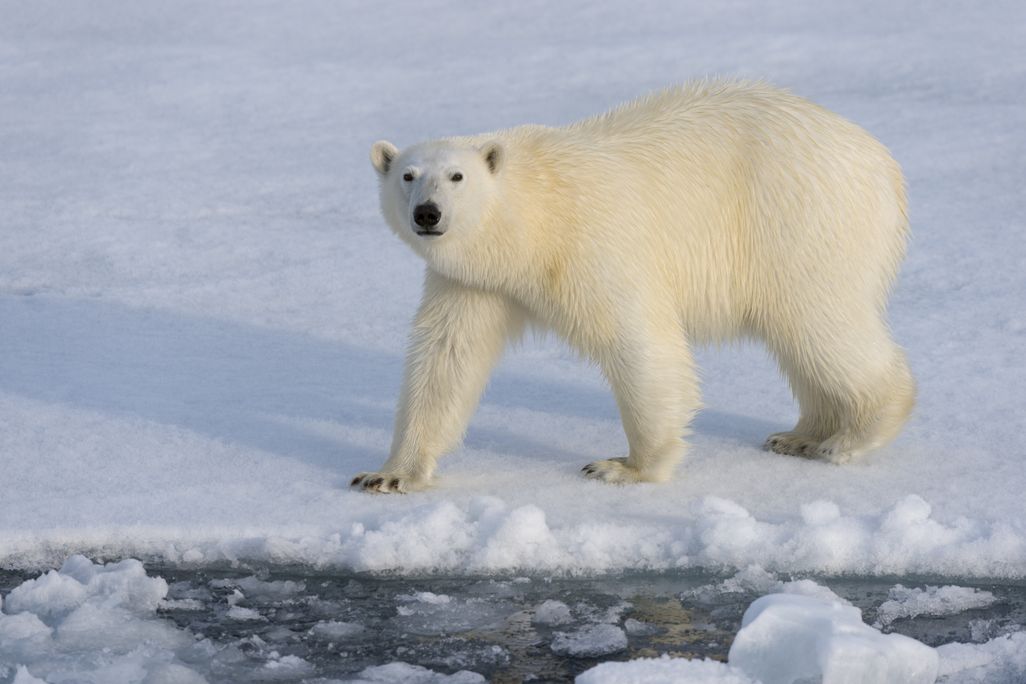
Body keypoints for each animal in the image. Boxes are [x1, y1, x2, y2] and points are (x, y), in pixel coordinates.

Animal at [352, 80, 915, 494]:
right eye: (407, 175)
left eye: (457, 176)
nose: (428, 214)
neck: (532, 222)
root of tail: (884, 164)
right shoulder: (474, 282)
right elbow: (447, 359)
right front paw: (389, 474)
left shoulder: (591, 246)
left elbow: (640, 344)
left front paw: (624, 466)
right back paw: (799, 435)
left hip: (799, 220)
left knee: (821, 323)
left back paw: (850, 439)